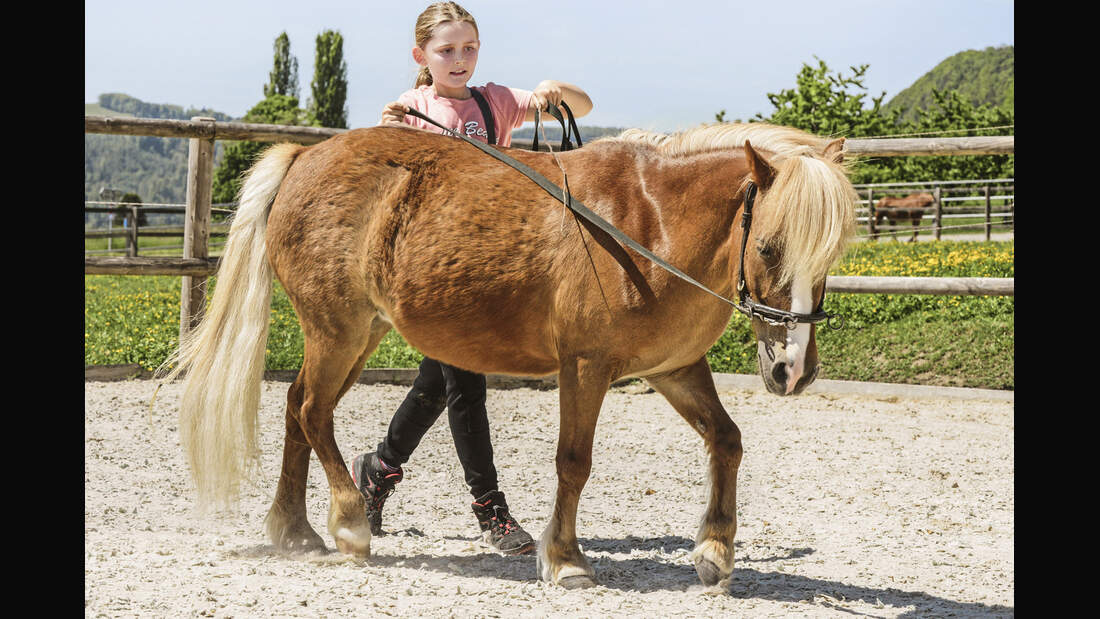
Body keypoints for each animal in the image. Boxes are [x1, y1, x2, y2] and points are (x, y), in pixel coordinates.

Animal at [157, 120, 858, 589]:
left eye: (831, 253)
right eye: (768, 247)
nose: (792, 370)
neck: (649, 225)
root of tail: (305, 155)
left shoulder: (672, 369)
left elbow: (727, 440)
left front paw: (714, 552)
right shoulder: (585, 367)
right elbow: (574, 461)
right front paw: (567, 560)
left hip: (357, 336)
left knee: (298, 407)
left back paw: (295, 529)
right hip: (338, 331)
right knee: (312, 412)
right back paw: (351, 522)